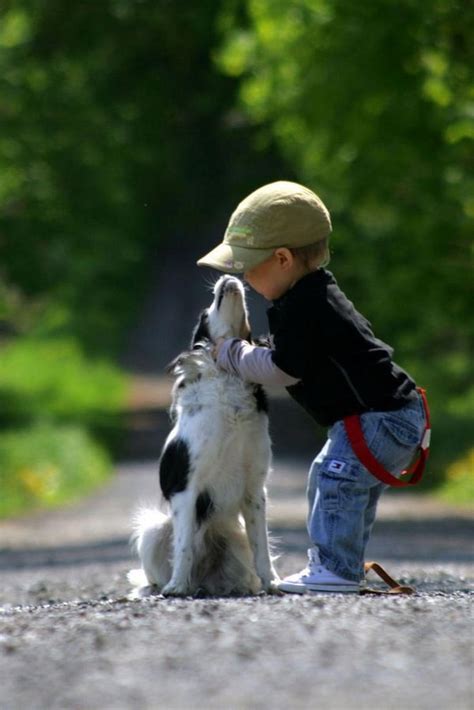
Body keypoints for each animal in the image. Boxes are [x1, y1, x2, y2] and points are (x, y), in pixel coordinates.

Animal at [130, 276, 278, 596]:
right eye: (204, 313)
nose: (228, 277)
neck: (227, 378)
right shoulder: (187, 486)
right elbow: (184, 546)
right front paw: (176, 586)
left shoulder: (255, 488)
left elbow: (261, 546)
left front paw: (273, 583)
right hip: (154, 529)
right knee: (156, 572)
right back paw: (170, 585)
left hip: (235, 540)